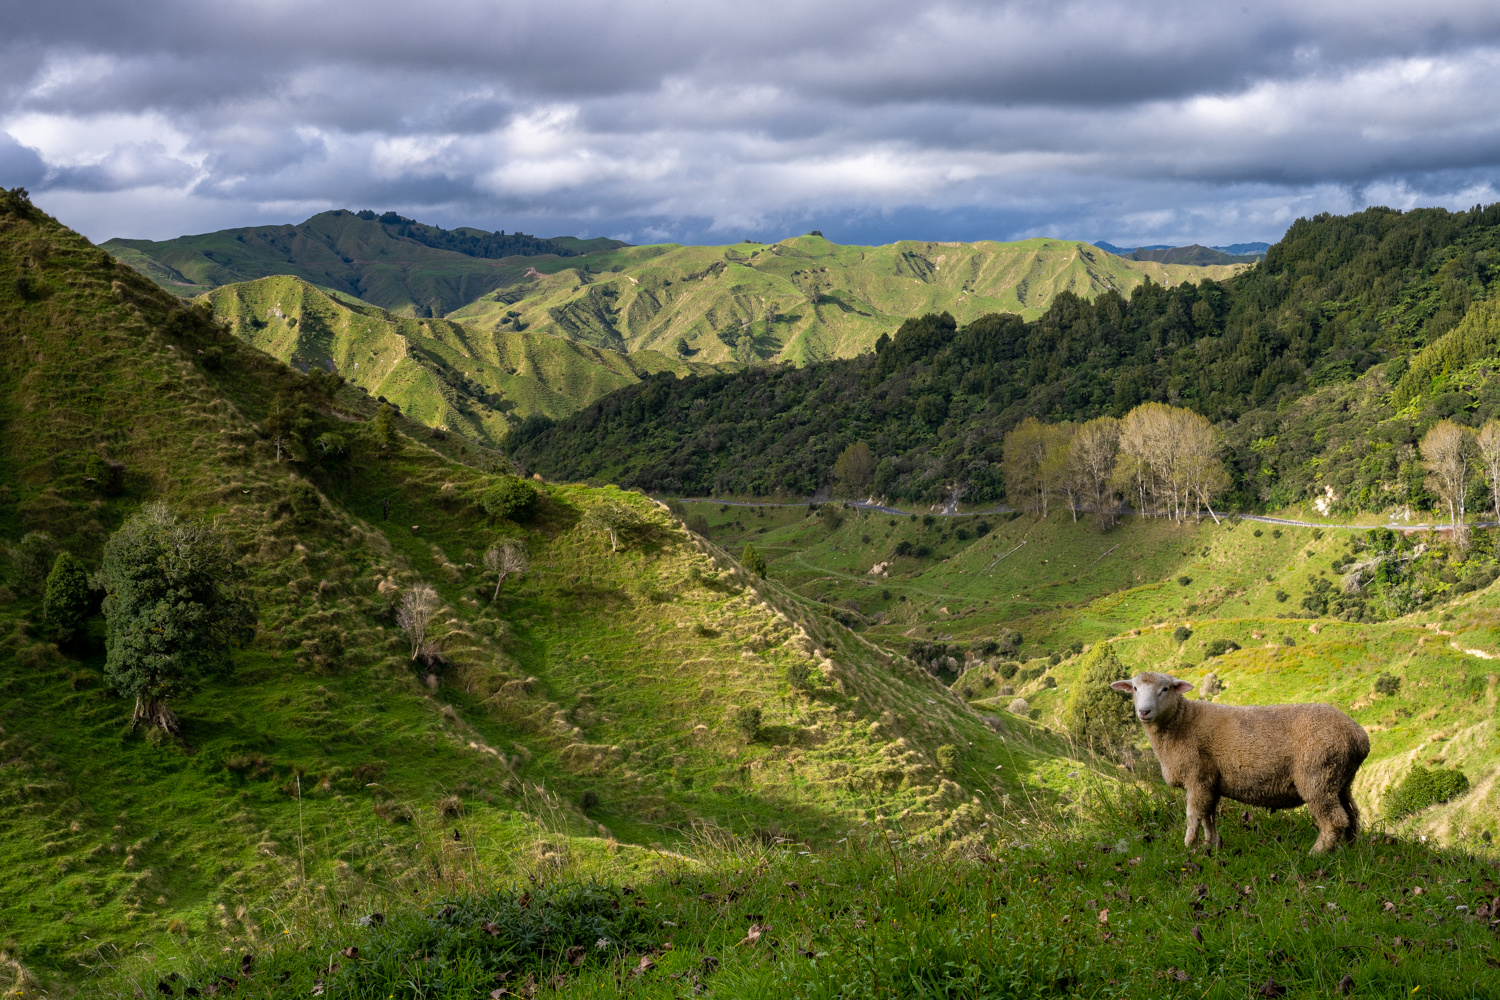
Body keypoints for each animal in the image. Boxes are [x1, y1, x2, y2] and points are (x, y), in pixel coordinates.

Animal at [1104, 668, 1374, 857]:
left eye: (1166, 689)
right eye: (1135, 688)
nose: (1144, 712)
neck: (1182, 723)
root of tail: (1359, 736)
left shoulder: (1197, 776)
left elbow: (1193, 815)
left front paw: (1189, 846)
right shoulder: (1210, 782)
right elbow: (1208, 816)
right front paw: (1212, 845)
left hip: (1317, 776)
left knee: (1333, 821)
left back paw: (1315, 854)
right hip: (1340, 779)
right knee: (1351, 815)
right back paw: (1350, 849)